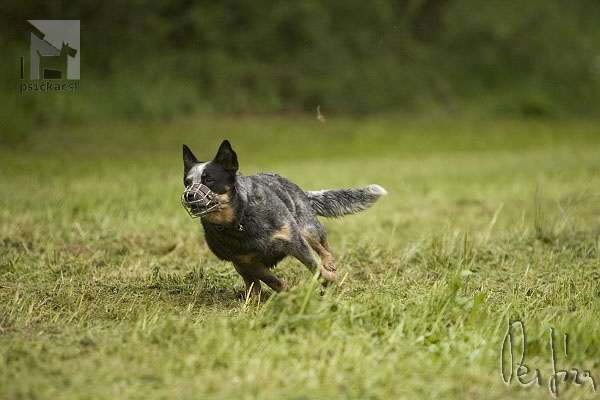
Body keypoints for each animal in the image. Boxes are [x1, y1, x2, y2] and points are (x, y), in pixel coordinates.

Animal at [180, 140, 386, 294]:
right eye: (187, 182)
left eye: (209, 179)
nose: (189, 195)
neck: (240, 220)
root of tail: (297, 187)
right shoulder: (245, 261)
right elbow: (271, 280)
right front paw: (287, 291)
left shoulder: (293, 239)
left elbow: (315, 266)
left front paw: (330, 279)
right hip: (239, 265)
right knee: (251, 282)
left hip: (306, 227)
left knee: (322, 245)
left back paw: (329, 263)